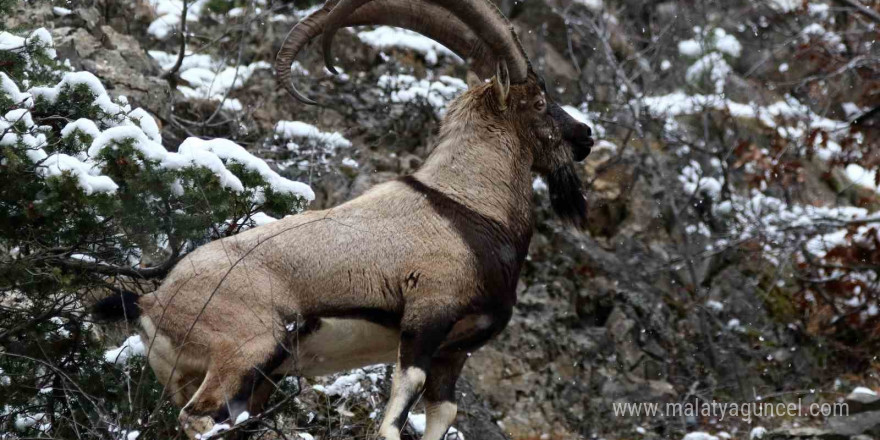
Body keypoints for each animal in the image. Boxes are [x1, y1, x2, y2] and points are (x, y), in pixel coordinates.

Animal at [93, 0, 596, 440]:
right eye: (538, 101)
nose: (585, 136)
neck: (468, 206)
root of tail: (153, 301)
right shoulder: (426, 319)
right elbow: (396, 412)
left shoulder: (454, 352)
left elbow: (443, 412)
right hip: (247, 350)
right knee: (199, 418)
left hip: (243, 379)